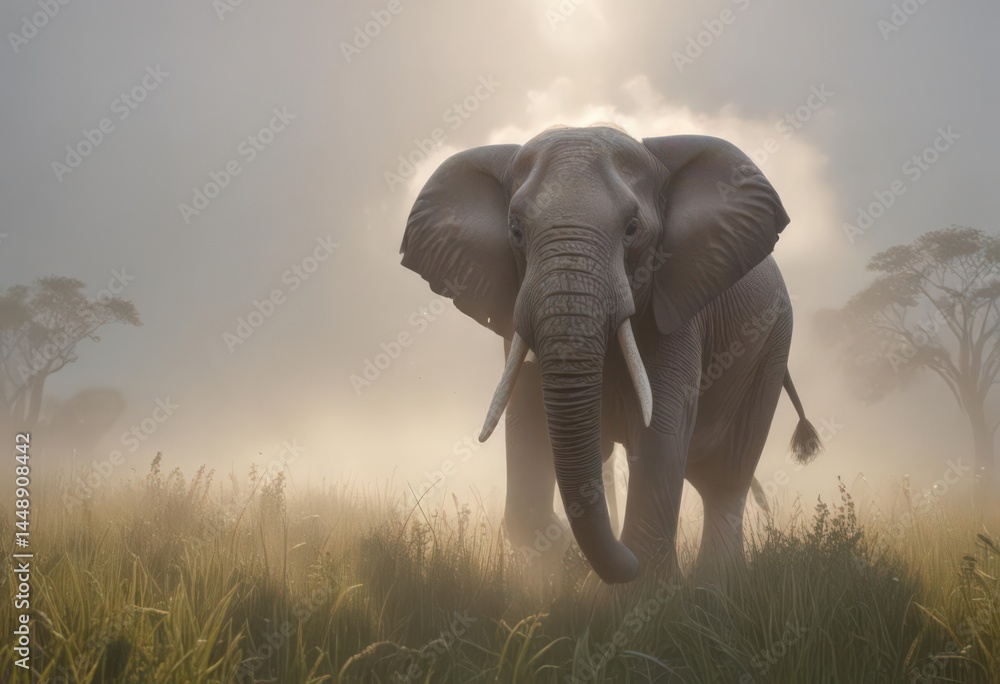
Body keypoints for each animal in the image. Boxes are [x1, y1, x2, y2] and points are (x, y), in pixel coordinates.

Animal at [399, 125, 820, 584]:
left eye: (632, 229)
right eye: (515, 231)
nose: (610, 565)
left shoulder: (676, 306)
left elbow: (661, 424)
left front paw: (648, 588)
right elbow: (528, 423)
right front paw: (558, 573)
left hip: (772, 345)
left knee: (724, 478)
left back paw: (715, 586)